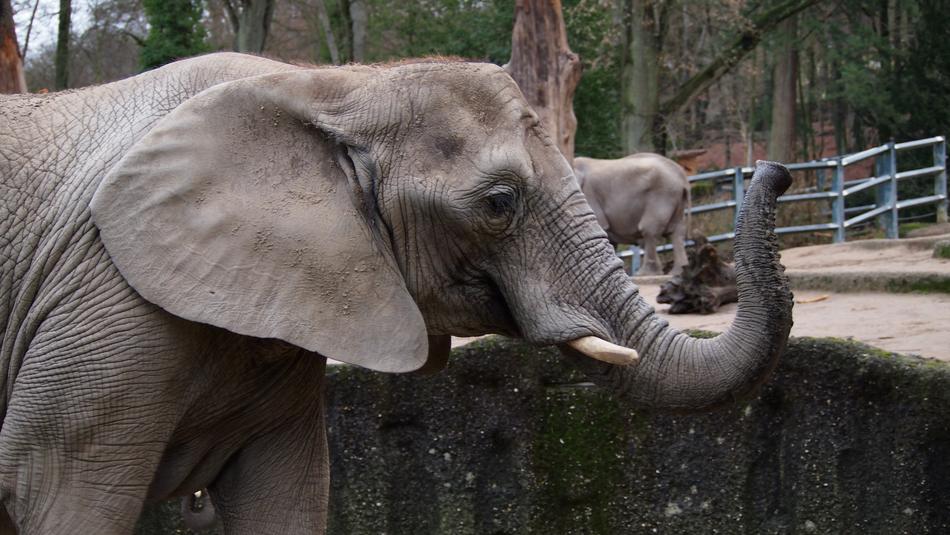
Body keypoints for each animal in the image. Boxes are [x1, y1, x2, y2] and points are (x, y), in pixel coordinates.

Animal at [0, 52, 793, 535]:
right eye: (500, 202)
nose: (777, 171)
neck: (332, 87)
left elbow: (287, 492)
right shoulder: (103, 304)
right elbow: (57, 495)